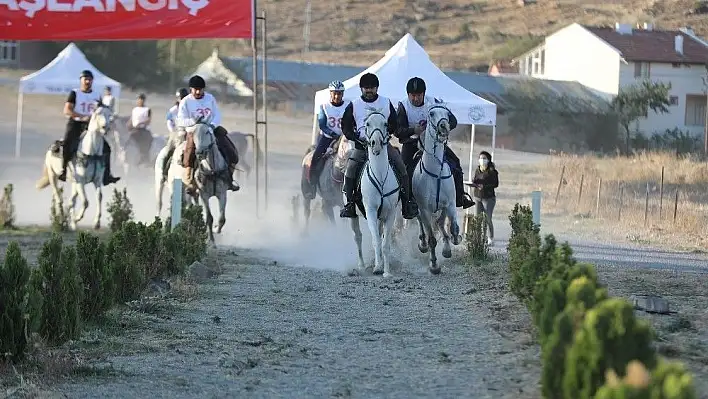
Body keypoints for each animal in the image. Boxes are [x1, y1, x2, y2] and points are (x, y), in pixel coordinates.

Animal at [36, 101, 115, 230]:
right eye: (98, 113)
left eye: (110, 114)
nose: (105, 128)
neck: (91, 152)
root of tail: (51, 148)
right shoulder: (81, 181)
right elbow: (86, 202)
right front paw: (78, 218)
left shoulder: (96, 181)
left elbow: (99, 197)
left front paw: (96, 222)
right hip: (53, 176)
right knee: (59, 199)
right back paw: (62, 221)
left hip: (74, 182)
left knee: (71, 201)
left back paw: (72, 224)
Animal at [189, 115, 231, 244]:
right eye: (192, 133)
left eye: (207, 131)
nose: (199, 152)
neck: (212, 170)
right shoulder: (204, 195)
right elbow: (209, 218)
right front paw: (211, 241)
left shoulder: (222, 194)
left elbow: (222, 218)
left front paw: (217, 229)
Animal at [348, 109, 398, 278]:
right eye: (368, 123)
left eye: (386, 123)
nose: (376, 143)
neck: (380, 175)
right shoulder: (370, 210)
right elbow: (376, 240)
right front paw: (377, 268)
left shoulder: (390, 213)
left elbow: (385, 243)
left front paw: (387, 271)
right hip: (353, 216)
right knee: (358, 237)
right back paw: (362, 266)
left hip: (381, 217)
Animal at [412, 103, 462, 276]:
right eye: (432, 113)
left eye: (447, 114)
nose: (444, 126)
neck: (436, 173)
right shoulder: (425, 209)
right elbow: (432, 239)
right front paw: (434, 265)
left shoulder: (450, 204)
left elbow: (453, 228)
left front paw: (453, 241)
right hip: (419, 209)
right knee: (421, 223)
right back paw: (422, 244)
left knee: (440, 222)